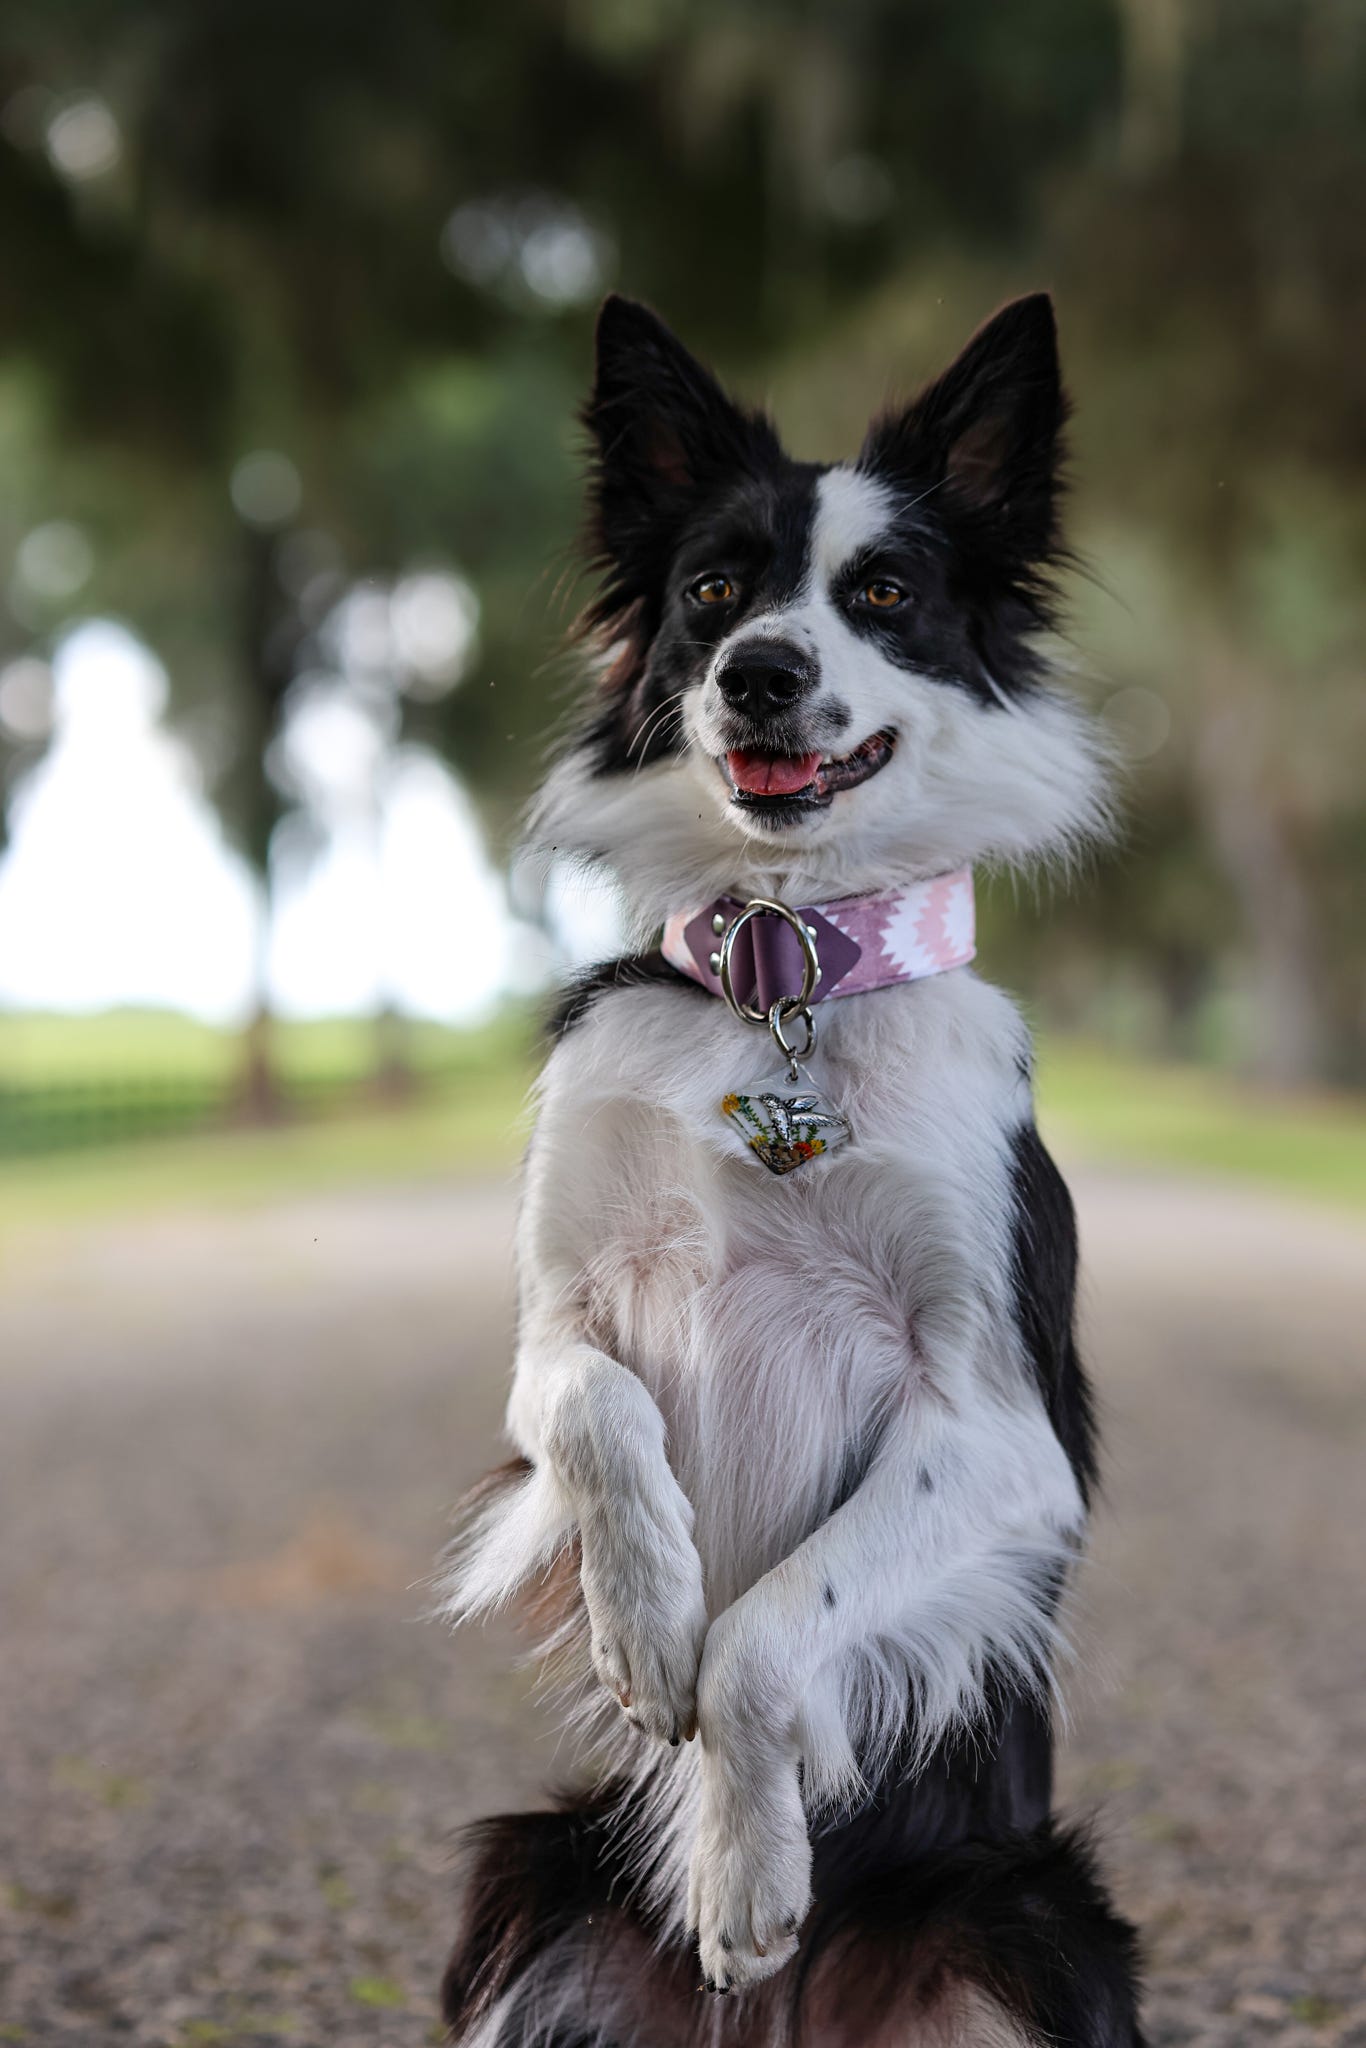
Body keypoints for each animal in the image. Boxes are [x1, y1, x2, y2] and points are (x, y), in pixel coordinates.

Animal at [444, 292, 1146, 2048]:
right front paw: (642, 1629)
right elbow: (597, 1413)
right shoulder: (558, 1325)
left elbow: (770, 1634)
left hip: (1036, 1930)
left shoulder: (998, 1432)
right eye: (711, 590)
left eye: (882, 593)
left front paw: (743, 1871)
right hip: (523, 1886)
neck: (784, 971)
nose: (760, 672)